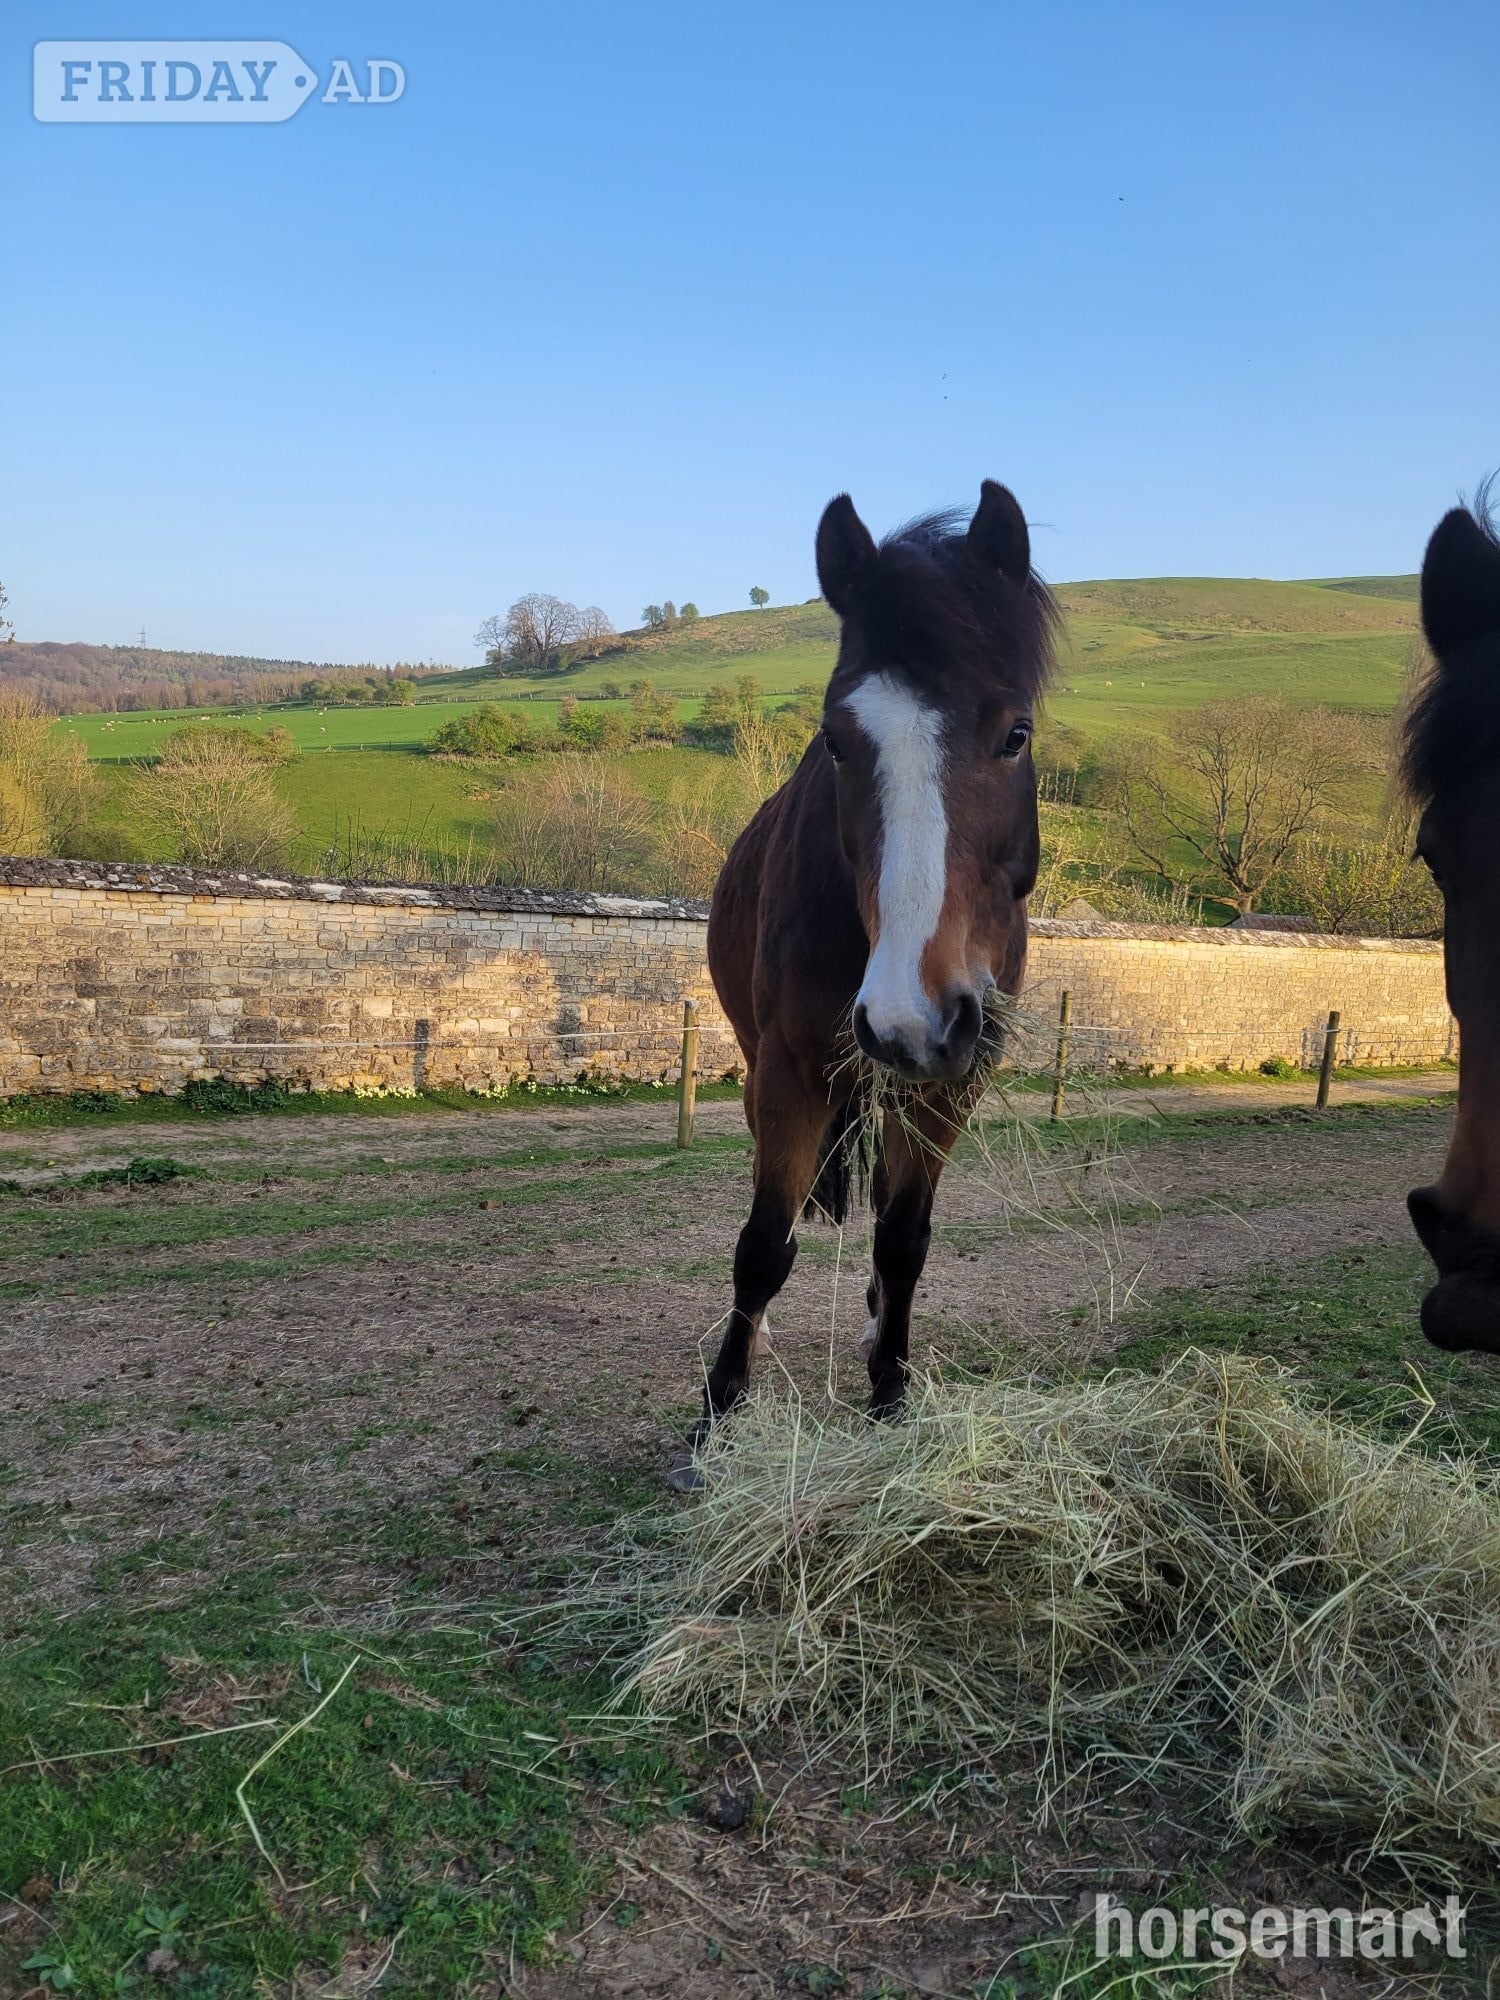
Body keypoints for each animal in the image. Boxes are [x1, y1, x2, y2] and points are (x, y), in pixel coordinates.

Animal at [670, 482, 1057, 1487]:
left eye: (1016, 733)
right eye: (837, 742)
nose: (908, 1018)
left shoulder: (953, 1081)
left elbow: (905, 1237)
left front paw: (890, 1389)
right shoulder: (790, 1074)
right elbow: (762, 1249)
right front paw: (719, 1412)